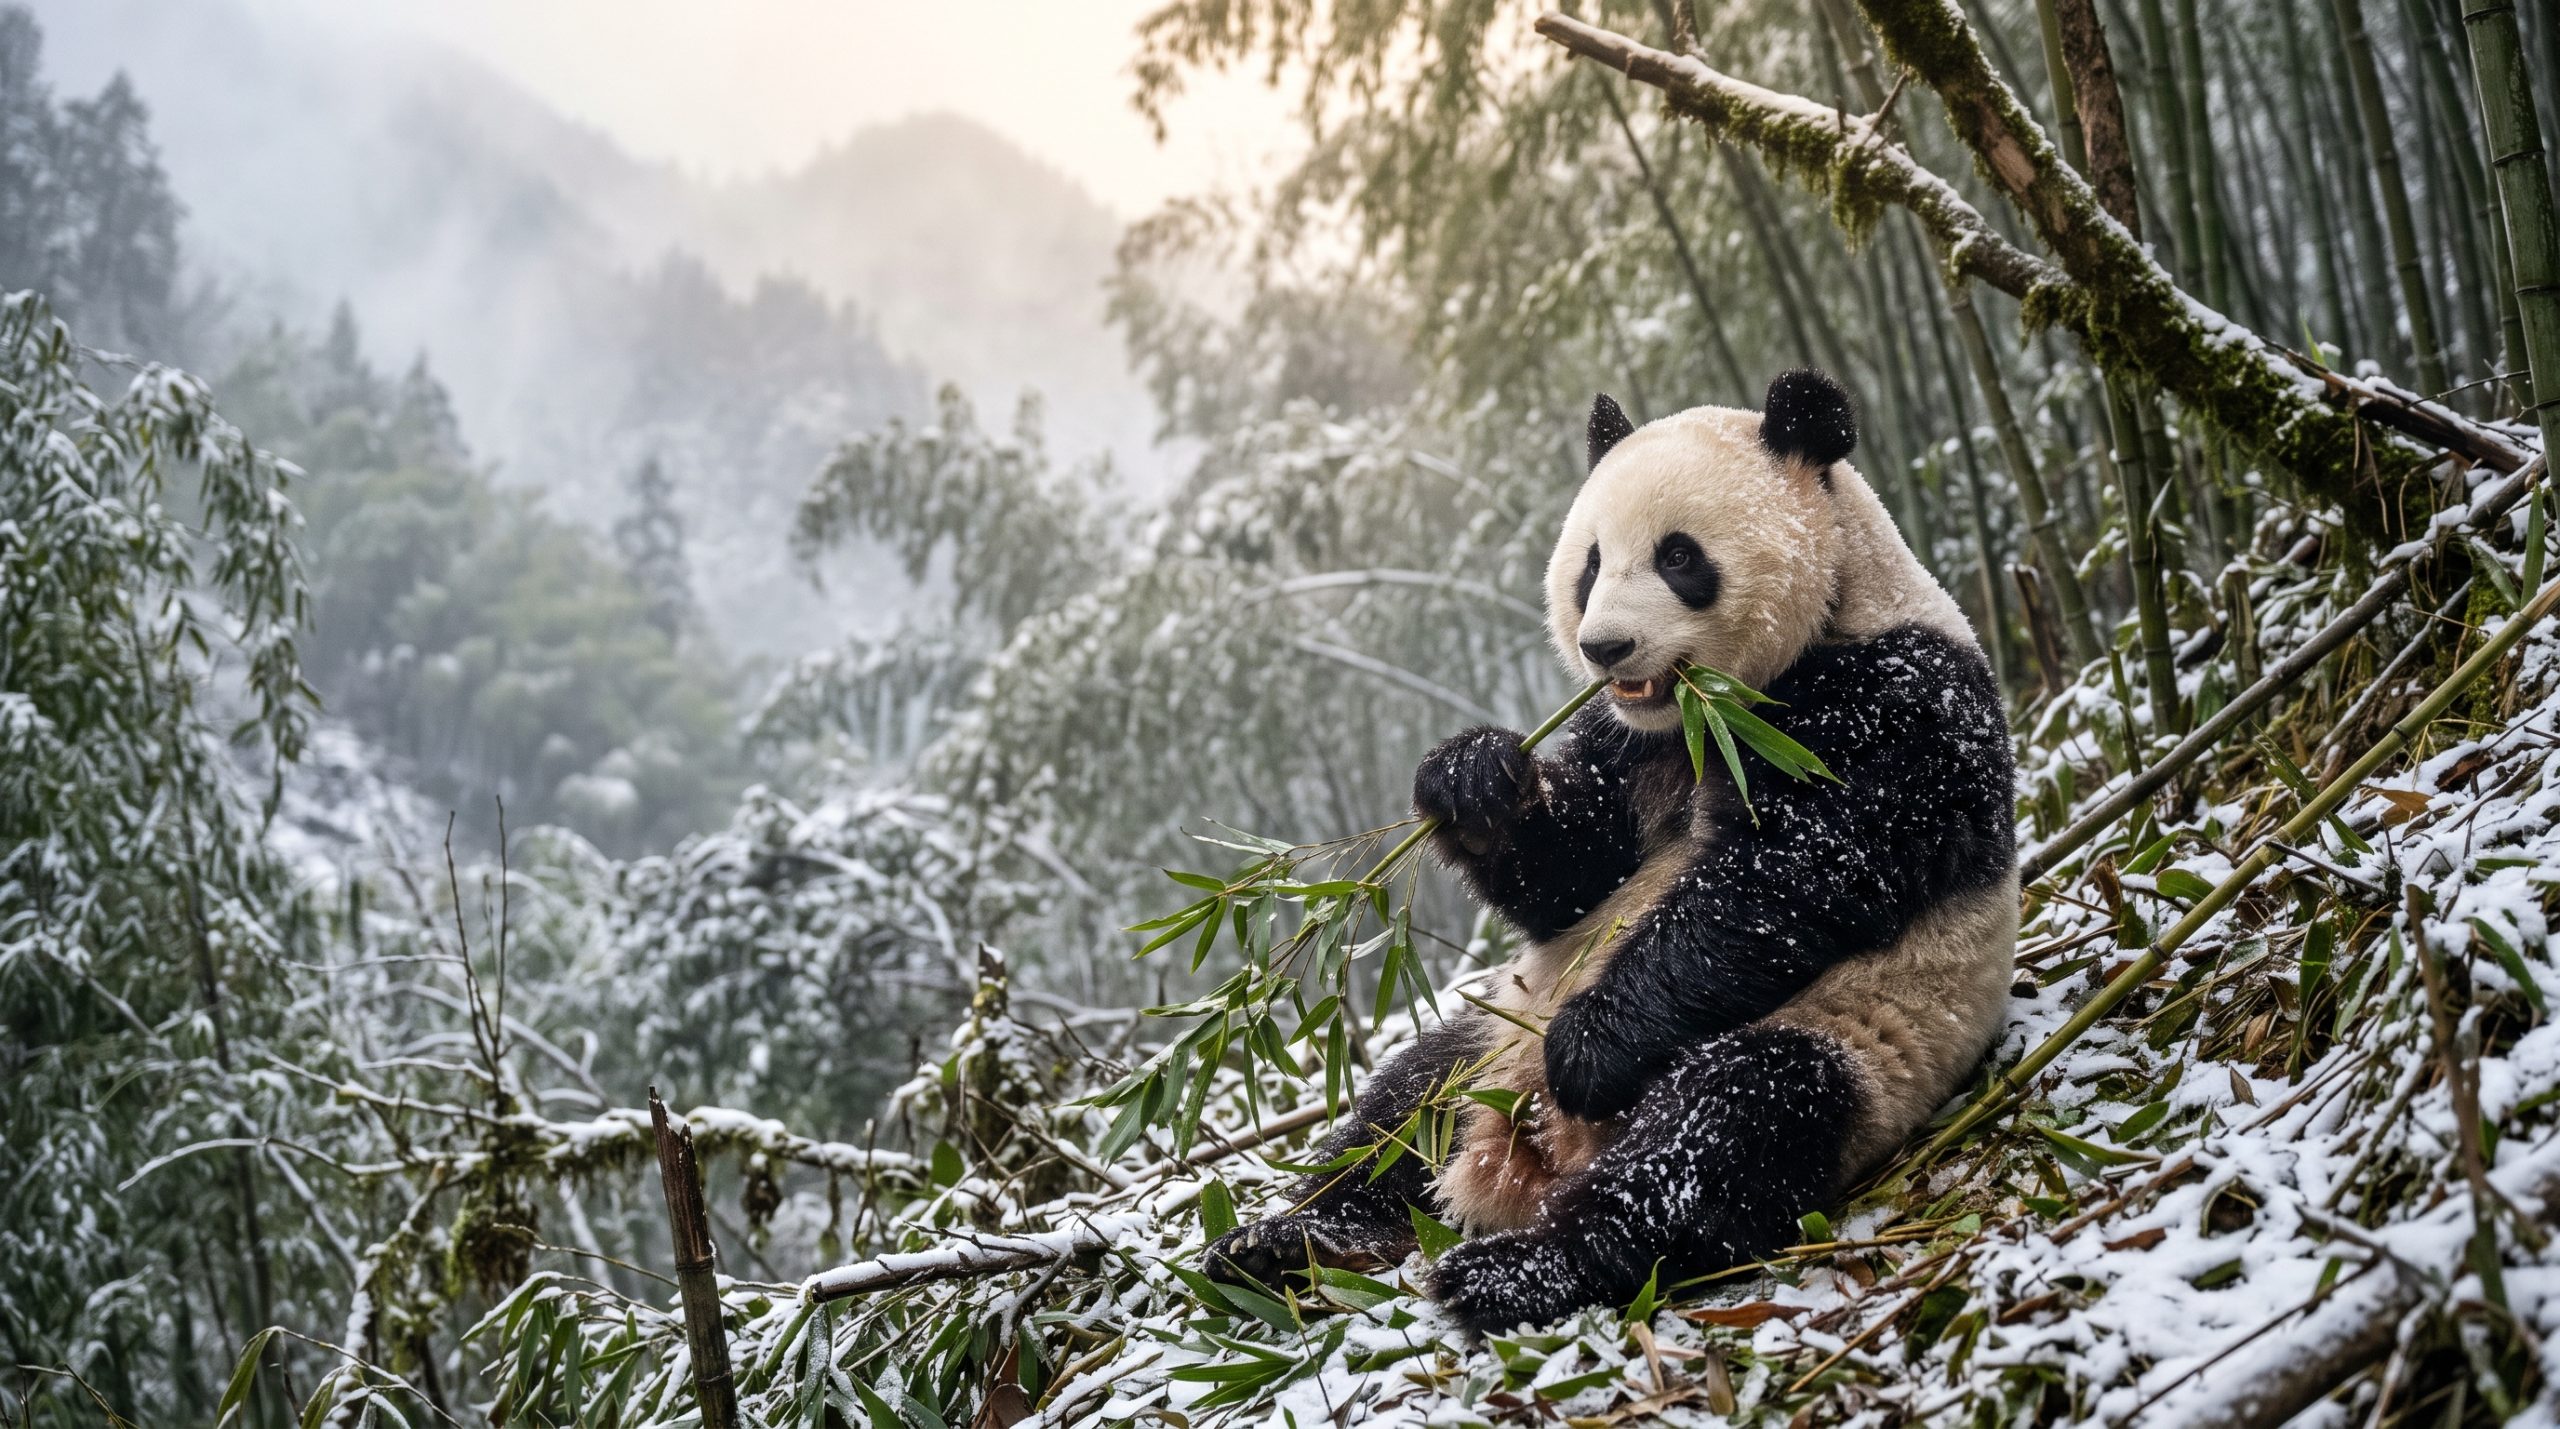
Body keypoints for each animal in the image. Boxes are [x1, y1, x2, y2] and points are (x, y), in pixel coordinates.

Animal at [1205, 370, 2018, 1332]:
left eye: (1679, 557)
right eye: (1591, 563)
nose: (1605, 646)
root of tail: (1530, 1158)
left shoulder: (1893, 700)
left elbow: (1793, 876)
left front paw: (1589, 1048)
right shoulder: (1631, 741)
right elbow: (1574, 871)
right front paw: (1472, 777)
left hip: (1858, 1038)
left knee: (1720, 1132)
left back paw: (1514, 1268)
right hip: (1489, 1032)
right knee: (1398, 1113)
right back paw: (1283, 1241)